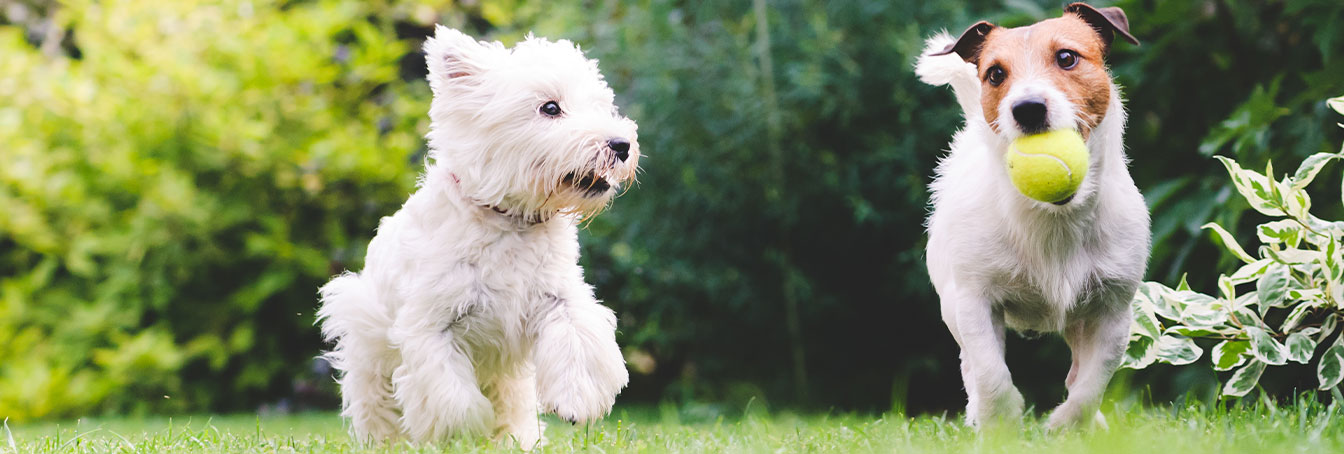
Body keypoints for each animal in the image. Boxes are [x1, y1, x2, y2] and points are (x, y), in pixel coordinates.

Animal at [311, 26, 637, 448]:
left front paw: (575, 402)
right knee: (377, 405)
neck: (509, 220)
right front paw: (462, 435)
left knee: (512, 407)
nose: (621, 145)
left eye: (602, 105)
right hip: (368, 344)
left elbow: (576, 337)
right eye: (550, 107)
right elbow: (453, 398)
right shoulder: (432, 324)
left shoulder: (558, 296)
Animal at [919, 3, 1150, 429]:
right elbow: (991, 371)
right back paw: (978, 411)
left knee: (1077, 372)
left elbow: (1092, 383)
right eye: (995, 73)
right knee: (970, 364)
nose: (1027, 109)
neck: (1054, 217)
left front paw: (1067, 424)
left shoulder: (1113, 311)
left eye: (1067, 57)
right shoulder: (974, 302)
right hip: (952, 304)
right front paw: (1001, 419)